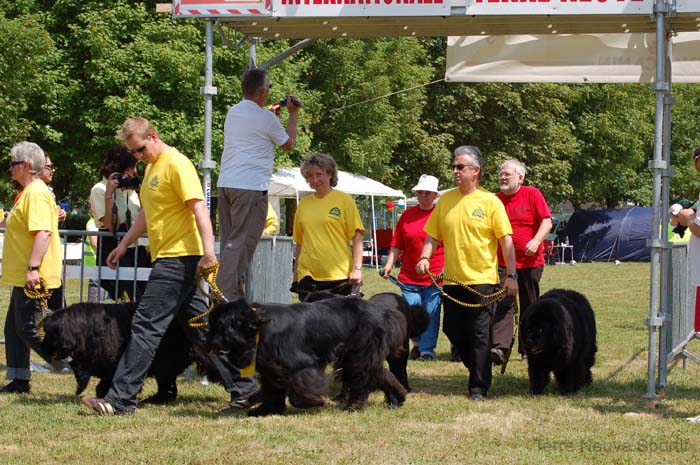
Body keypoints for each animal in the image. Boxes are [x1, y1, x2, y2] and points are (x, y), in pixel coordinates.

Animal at [208, 296, 416, 416]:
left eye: (219, 327)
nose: (207, 342)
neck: (258, 329)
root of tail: (383, 312)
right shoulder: (272, 368)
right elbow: (272, 388)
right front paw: (266, 410)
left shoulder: (302, 365)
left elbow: (298, 391)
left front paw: (316, 401)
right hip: (359, 355)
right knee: (380, 374)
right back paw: (397, 399)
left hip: (359, 354)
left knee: (362, 378)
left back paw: (354, 406)